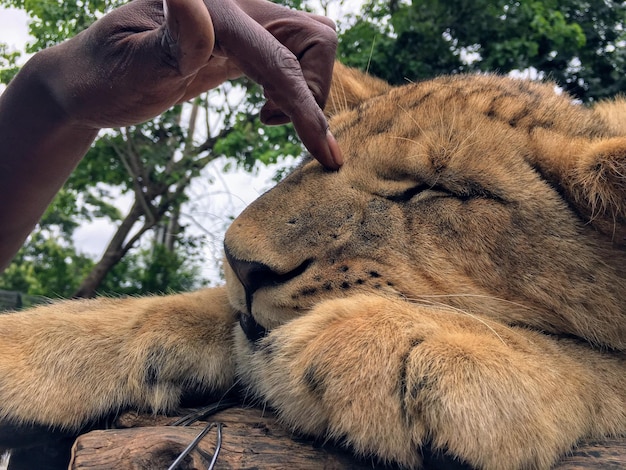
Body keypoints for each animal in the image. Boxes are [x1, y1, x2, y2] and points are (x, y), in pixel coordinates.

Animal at [1, 63, 624, 470]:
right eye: (318, 159)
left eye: (432, 191)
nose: (241, 262)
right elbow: (189, 309)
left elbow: (598, 358)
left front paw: (399, 344)